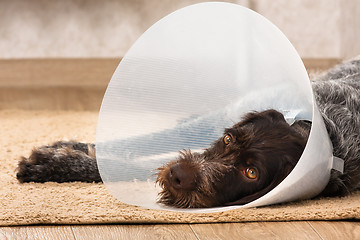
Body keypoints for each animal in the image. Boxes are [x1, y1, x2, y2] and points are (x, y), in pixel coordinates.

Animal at [16, 56, 360, 208]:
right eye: (228, 139)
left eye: (251, 173)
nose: (180, 175)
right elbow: (136, 149)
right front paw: (60, 157)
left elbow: (131, 164)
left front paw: (57, 162)